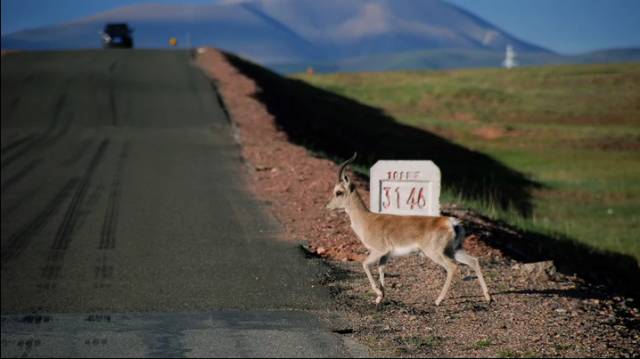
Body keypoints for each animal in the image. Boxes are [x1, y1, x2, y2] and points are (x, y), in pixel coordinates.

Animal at [328, 154, 492, 306]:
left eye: (338, 192)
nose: (328, 207)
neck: (367, 220)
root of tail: (451, 223)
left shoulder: (378, 250)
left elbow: (364, 264)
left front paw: (377, 293)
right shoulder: (385, 255)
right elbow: (381, 269)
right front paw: (380, 296)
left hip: (436, 253)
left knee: (452, 267)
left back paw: (438, 300)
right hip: (454, 250)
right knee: (473, 261)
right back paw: (488, 297)